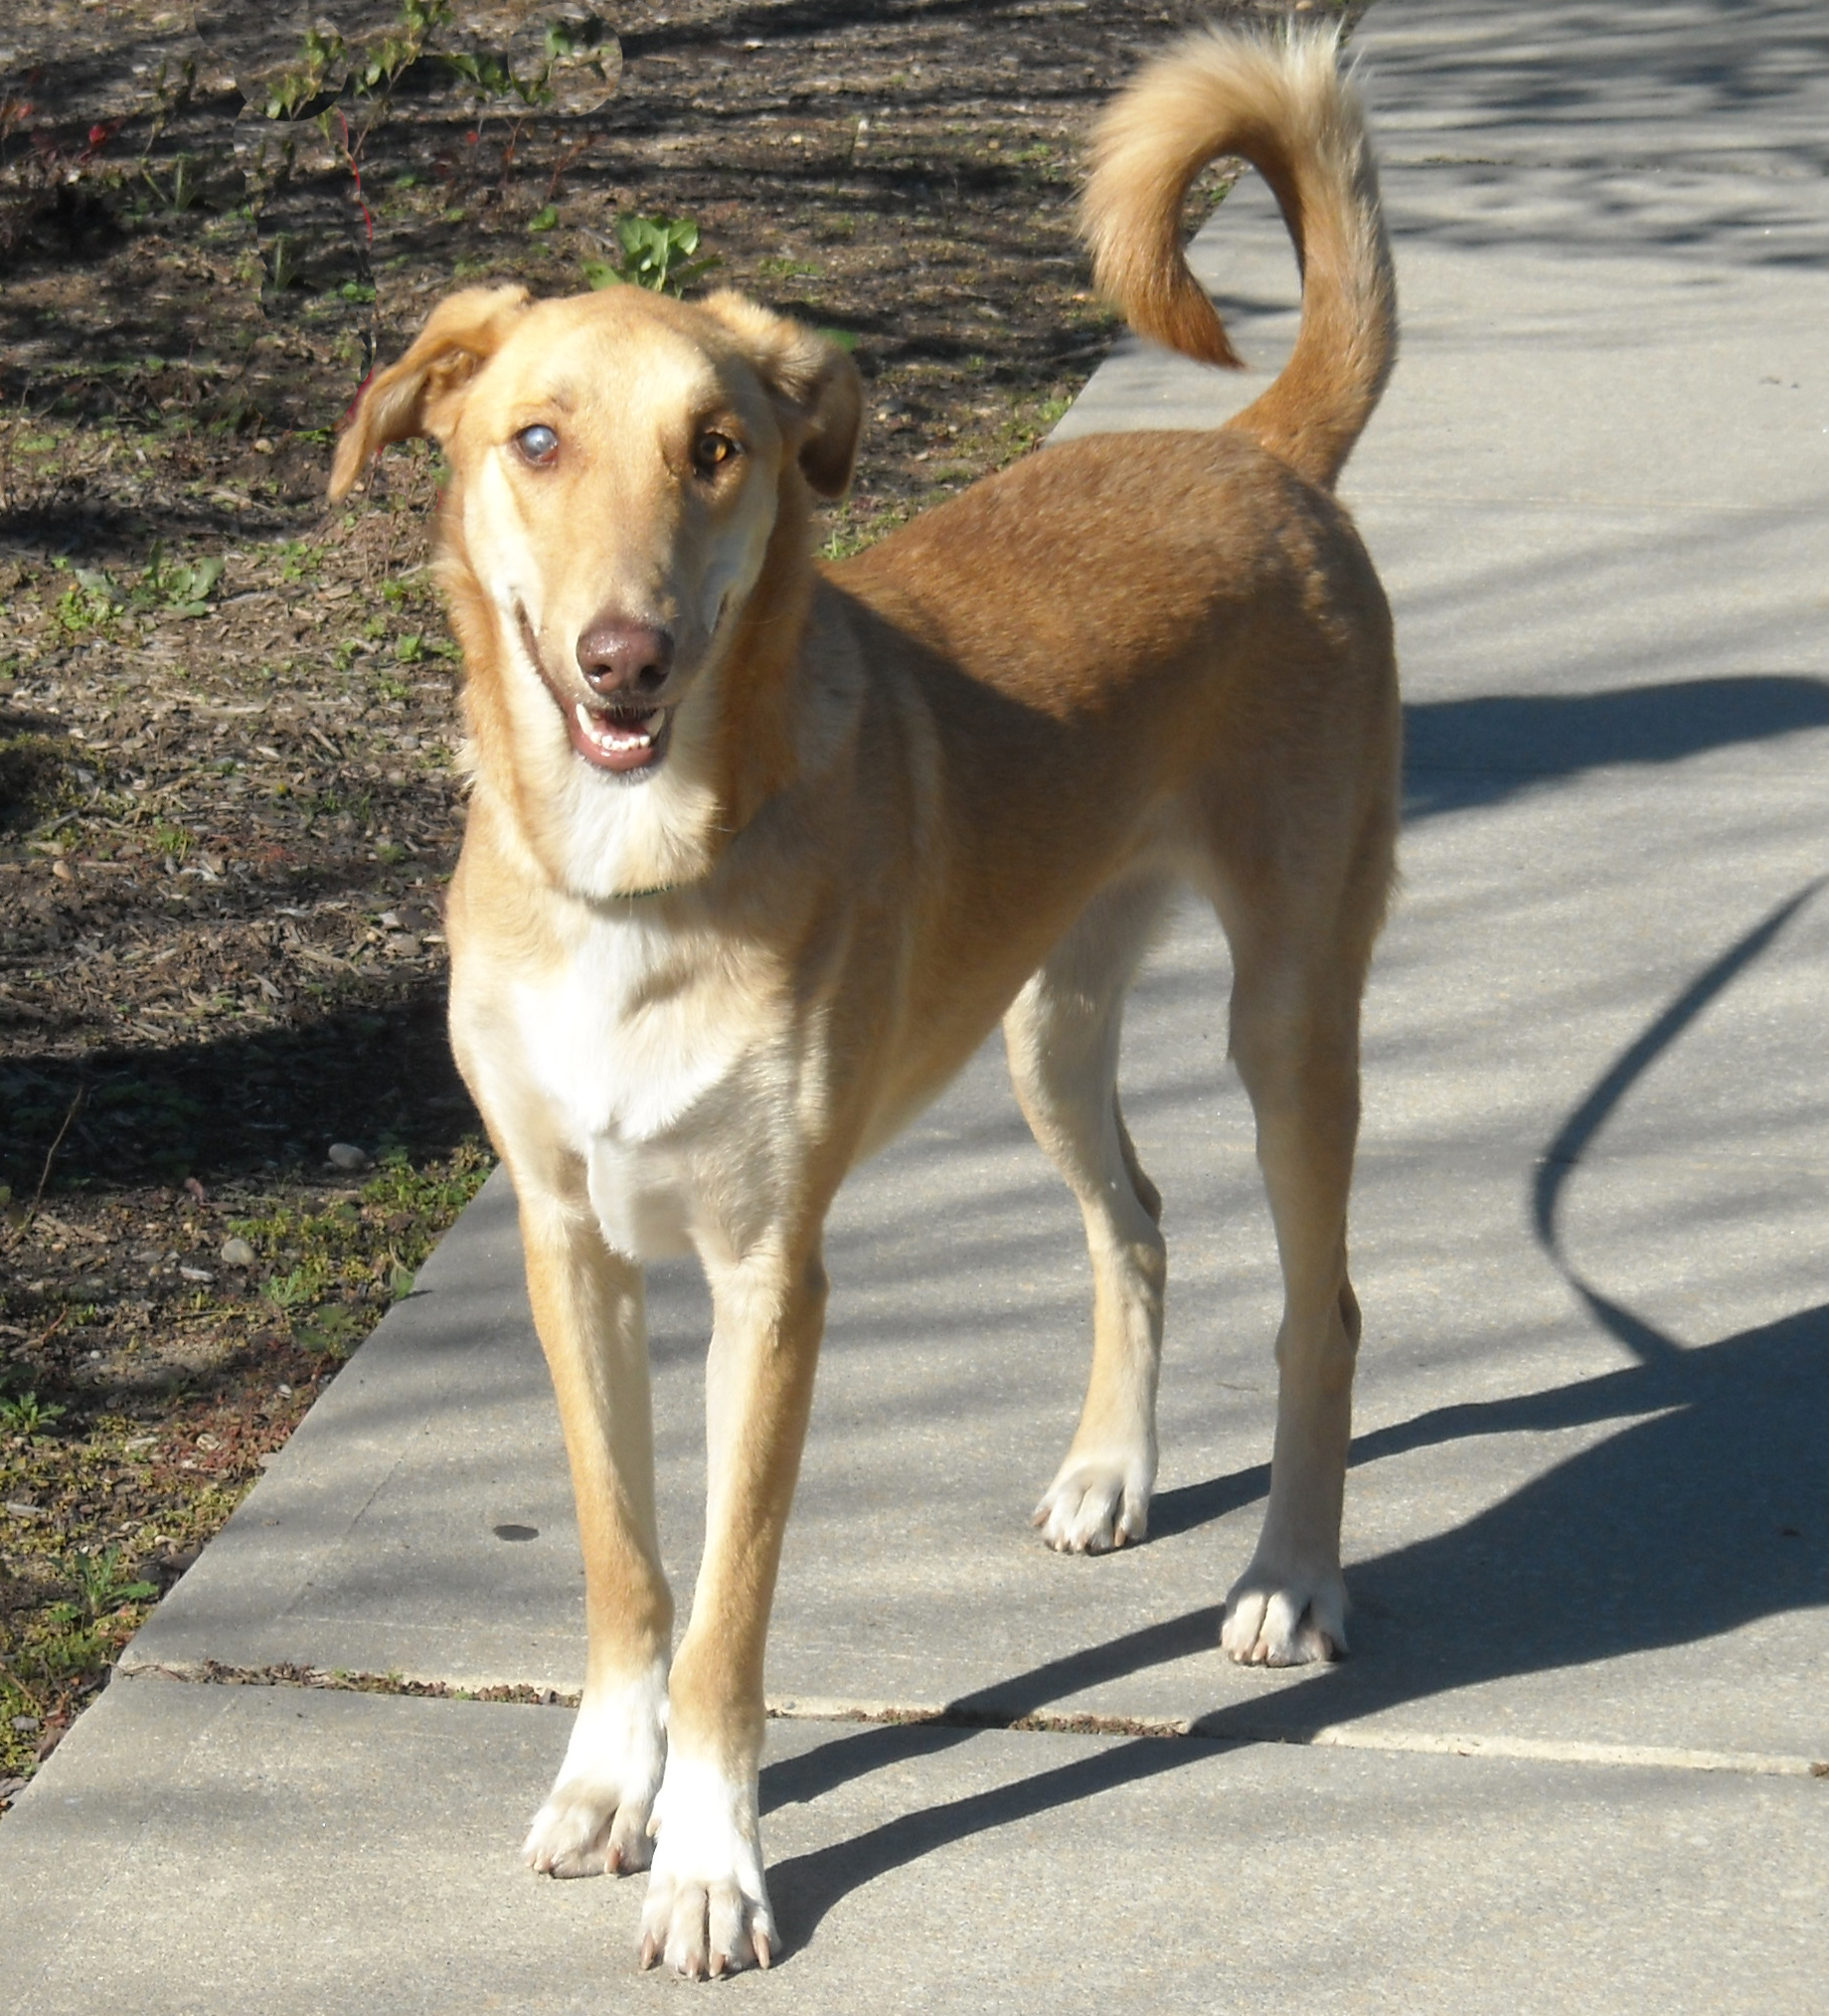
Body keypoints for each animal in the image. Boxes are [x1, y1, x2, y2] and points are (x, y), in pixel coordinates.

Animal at [328, 23, 1403, 1975]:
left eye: (718, 450)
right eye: (535, 439)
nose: (625, 660)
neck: (641, 872)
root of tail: (1256, 452)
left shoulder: (773, 1277)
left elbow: (728, 1612)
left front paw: (708, 1859)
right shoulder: (567, 1240)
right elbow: (628, 1562)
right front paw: (606, 1779)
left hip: (1291, 1011)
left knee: (1323, 1308)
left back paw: (1291, 1574)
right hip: (1047, 1026)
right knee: (1135, 1218)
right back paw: (1112, 1471)